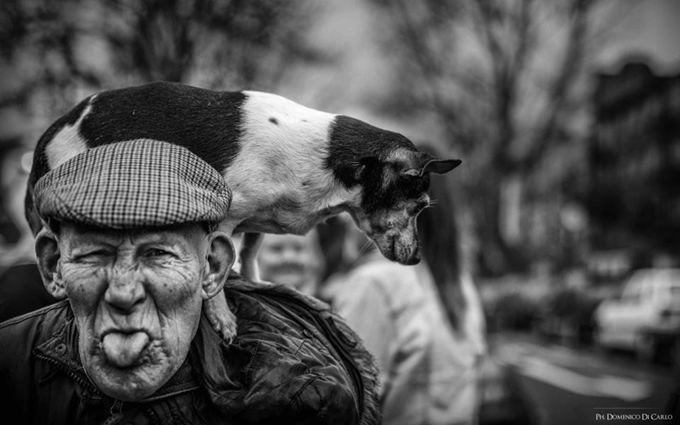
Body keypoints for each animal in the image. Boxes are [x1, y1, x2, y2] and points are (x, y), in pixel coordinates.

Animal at [26, 82, 462, 342]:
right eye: (419, 208)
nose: (419, 258)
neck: (325, 163)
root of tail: (47, 137)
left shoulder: (256, 222)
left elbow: (249, 255)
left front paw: (263, 286)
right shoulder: (225, 216)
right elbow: (216, 268)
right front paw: (223, 320)